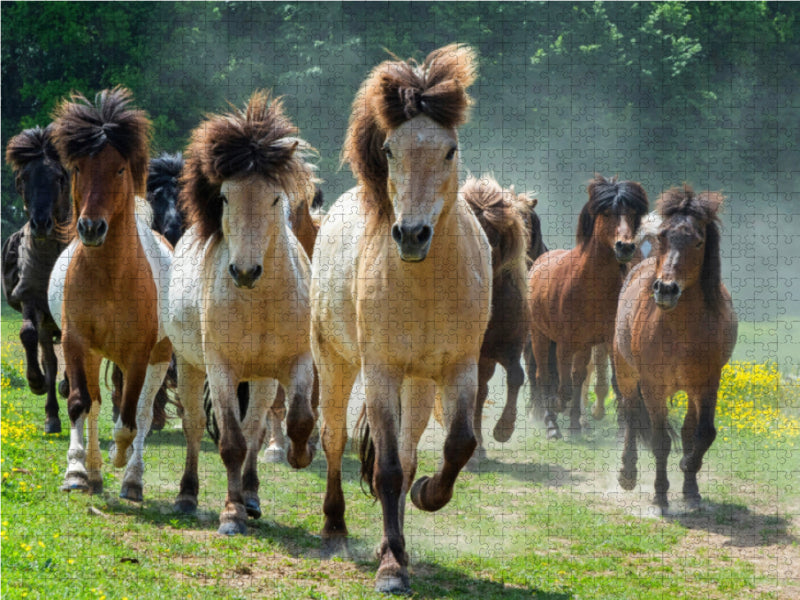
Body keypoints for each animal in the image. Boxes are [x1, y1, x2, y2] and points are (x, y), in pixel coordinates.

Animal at [48, 86, 173, 500]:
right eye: (78, 169)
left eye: (119, 169)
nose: (91, 228)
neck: (110, 278)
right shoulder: (75, 342)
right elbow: (79, 404)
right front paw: (76, 471)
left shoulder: (138, 355)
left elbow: (130, 421)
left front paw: (123, 463)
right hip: (93, 353)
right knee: (96, 405)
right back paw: (95, 471)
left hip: (159, 358)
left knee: (143, 413)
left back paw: (131, 477)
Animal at [165, 90, 317, 535]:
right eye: (226, 196)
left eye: (275, 197)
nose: (246, 271)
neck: (260, 302)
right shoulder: (221, 368)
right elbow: (230, 443)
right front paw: (230, 515)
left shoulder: (297, 361)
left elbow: (297, 419)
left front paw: (299, 454)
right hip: (190, 366)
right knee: (196, 426)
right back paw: (188, 495)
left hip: (263, 378)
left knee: (255, 428)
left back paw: (250, 495)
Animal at [311, 44, 492, 594]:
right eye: (390, 151)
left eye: (450, 150)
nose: (411, 234)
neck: (426, 286)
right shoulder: (382, 371)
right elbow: (387, 470)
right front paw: (391, 568)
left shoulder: (459, 368)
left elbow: (458, 444)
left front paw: (429, 495)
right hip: (337, 364)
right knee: (333, 439)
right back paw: (335, 529)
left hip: (419, 384)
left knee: (411, 454)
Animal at [528, 174, 649, 440]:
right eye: (607, 212)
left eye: (633, 214)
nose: (625, 247)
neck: (589, 284)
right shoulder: (565, 342)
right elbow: (562, 385)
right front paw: (558, 408)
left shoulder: (607, 340)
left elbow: (601, 381)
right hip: (539, 335)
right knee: (543, 375)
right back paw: (552, 424)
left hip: (582, 344)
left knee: (577, 376)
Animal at [614, 185, 736, 512]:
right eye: (663, 237)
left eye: (698, 241)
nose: (666, 289)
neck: (680, 328)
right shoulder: (653, 387)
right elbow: (660, 442)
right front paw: (660, 496)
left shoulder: (707, 384)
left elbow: (703, 434)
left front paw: (688, 474)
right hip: (626, 374)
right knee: (631, 414)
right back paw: (627, 473)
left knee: (687, 430)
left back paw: (690, 488)